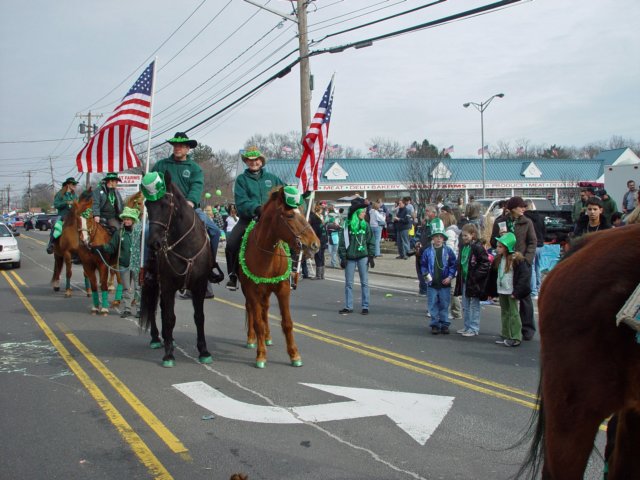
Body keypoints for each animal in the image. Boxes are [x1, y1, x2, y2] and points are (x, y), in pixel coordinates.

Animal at [238, 186, 320, 370]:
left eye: (303, 211)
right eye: (289, 215)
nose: (315, 244)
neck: (266, 255)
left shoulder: (282, 290)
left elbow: (287, 323)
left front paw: (294, 355)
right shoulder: (252, 290)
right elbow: (258, 323)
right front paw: (261, 355)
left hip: (267, 292)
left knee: (265, 310)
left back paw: (268, 338)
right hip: (248, 291)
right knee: (252, 311)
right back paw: (251, 339)